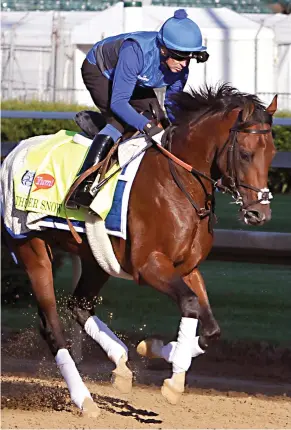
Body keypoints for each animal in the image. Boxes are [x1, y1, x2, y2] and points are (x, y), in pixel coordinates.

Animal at [0, 84, 278, 416]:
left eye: (272, 153)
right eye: (246, 154)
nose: (259, 214)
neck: (179, 183)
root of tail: (12, 153)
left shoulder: (187, 267)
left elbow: (210, 328)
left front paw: (155, 349)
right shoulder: (149, 265)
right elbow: (190, 304)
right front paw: (174, 380)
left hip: (96, 256)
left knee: (79, 306)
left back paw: (120, 360)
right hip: (31, 247)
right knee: (51, 324)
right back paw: (84, 399)